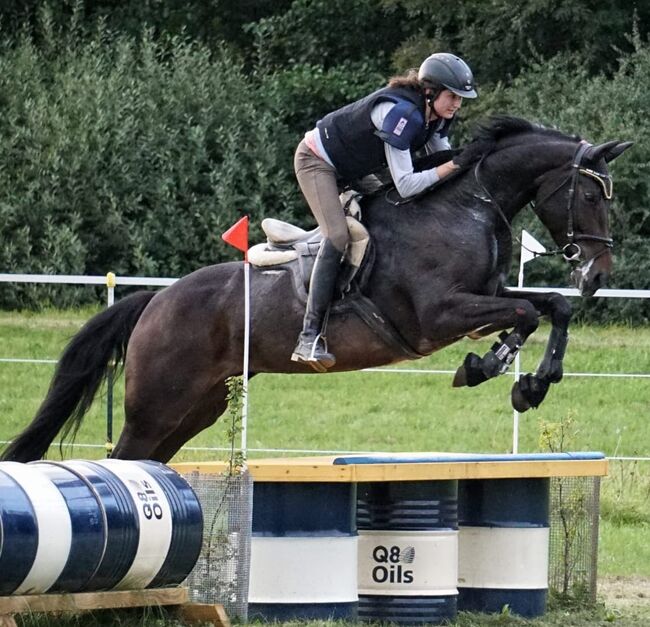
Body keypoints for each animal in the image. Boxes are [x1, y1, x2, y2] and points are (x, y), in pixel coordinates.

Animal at [0, 118, 628, 464]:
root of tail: (156, 300)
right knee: (127, 458)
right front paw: (489, 368)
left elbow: (551, 308)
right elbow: (524, 311)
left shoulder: (482, 297)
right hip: (157, 404)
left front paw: (529, 383)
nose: (598, 274)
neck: (465, 205)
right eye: (590, 196)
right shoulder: (437, 315)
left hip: (197, 406)